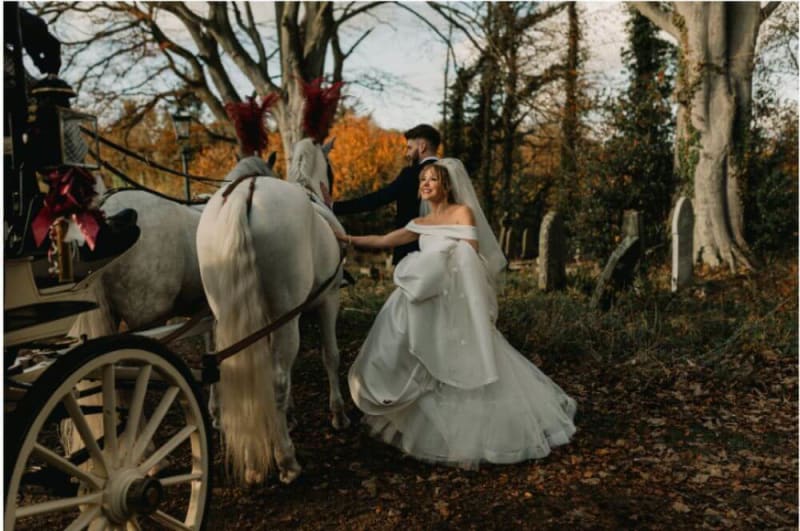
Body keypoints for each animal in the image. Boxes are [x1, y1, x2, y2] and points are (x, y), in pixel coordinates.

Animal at [196, 152, 346, 484]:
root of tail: (244, 193)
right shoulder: (328, 299)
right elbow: (330, 355)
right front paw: (338, 413)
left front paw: (288, 416)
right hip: (285, 315)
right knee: (277, 378)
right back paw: (287, 461)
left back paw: (252, 461)